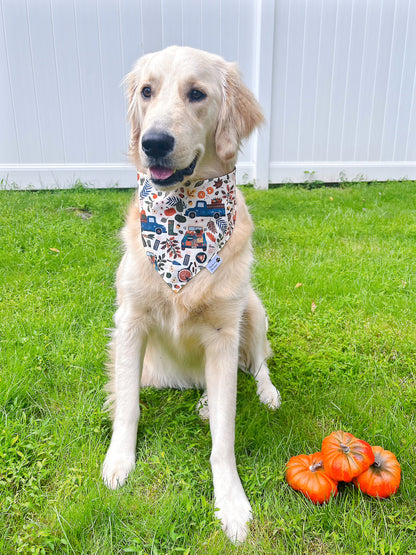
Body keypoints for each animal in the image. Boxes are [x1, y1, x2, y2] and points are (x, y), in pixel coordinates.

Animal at [102, 46, 282, 544]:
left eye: (197, 94)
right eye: (147, 91)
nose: (154, 142)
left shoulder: (223, 333)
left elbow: (224, 437)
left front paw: (232, 504)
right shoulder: (129, 321)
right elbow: (128, 405)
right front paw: (118, 462)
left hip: (252, 308)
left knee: (256, 364)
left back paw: (264, 393)